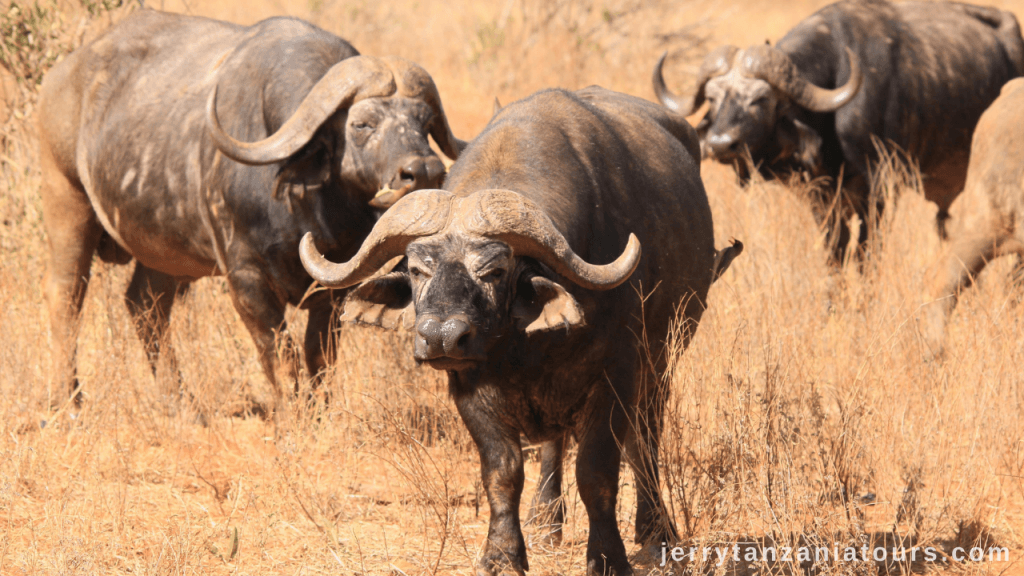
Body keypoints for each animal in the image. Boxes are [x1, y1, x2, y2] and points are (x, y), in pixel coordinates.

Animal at [38, 8, 464, 407]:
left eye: (425, 122)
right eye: (362, 124)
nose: (423, 170)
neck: (305, 207)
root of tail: (61, 76)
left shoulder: (334, 288)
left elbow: (318, 357)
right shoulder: (245, 279)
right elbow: (279, 354)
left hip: (161, 250)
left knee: (145, 305)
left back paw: (179, 401)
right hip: (66, 202)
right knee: (66, 298)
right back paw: (68, 398)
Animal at [299, 86, 741, 573]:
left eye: (494, 270)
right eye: (416, 269)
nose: (441, 337)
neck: (522, 350)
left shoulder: (618, 373)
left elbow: (598, 470)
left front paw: (607, 555)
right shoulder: (468, 388)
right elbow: (502, 471)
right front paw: (503, 552)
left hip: (664, 358)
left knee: (645, 438)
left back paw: (655, 529)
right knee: (555, 444)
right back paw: (546, 520)